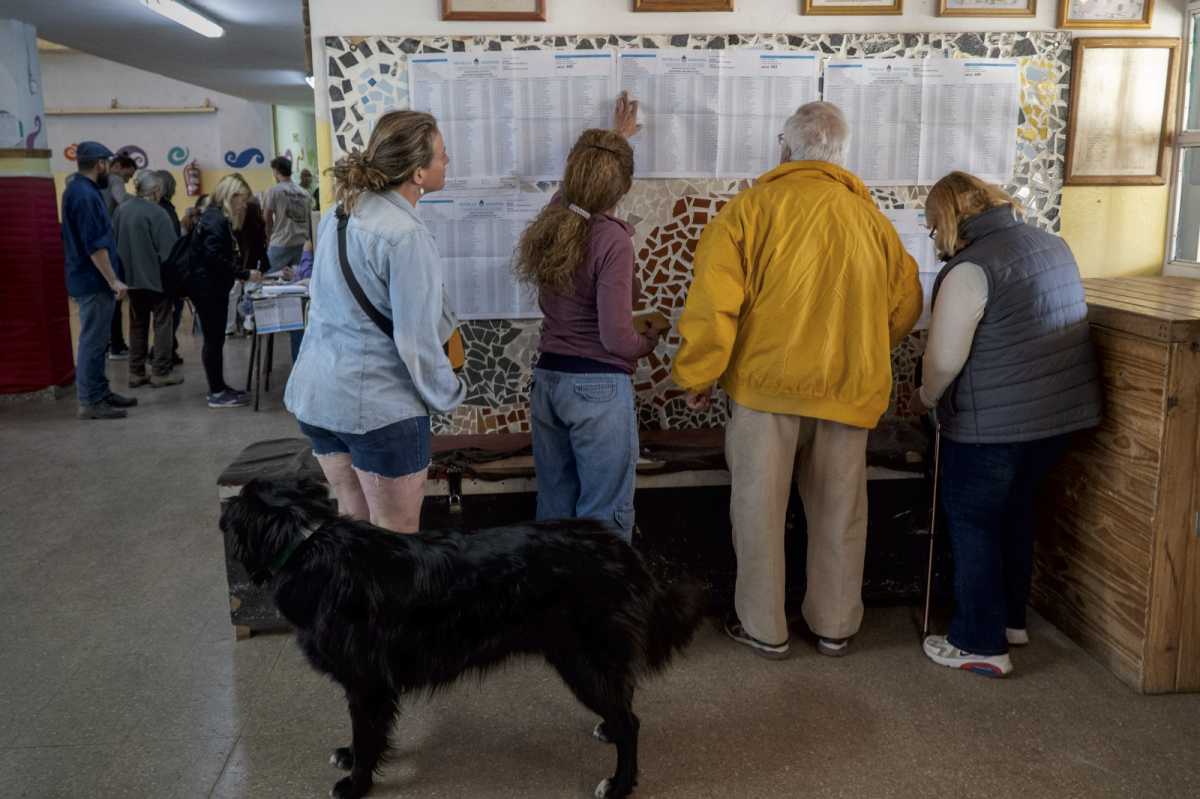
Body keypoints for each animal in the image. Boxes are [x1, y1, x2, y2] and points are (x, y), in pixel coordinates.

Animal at [220, 475, 700, 791]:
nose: (221, 512)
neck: (306, 540)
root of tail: (618, 547)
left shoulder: (367, 683)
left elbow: (367, 733)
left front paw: (356, 783)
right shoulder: (370, 687)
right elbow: (367, 733)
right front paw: (352, 758)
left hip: (584, 659)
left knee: (631, 721)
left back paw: (619, 784)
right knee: (623, 705)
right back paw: (608, 730)